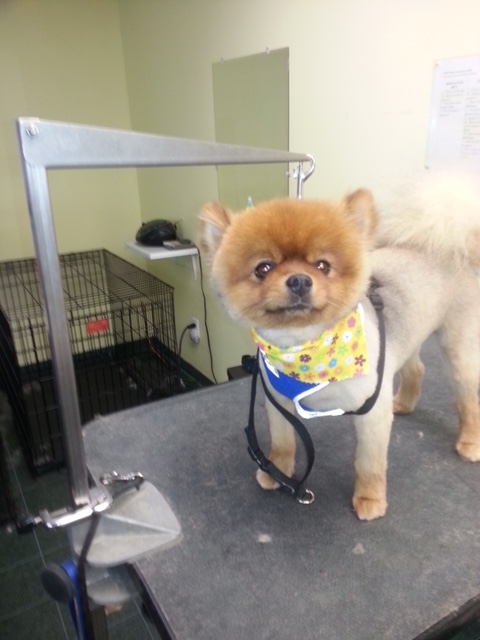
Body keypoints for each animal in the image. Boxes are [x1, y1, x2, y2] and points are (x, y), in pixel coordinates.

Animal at [197, 172, 480, 520]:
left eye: (322, 266)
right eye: (263, 268)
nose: (299, 280)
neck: (305, 350)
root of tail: (447, 243)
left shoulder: (372, 412)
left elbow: (369, 464)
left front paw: (370, 499)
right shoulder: (278, 404)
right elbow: (283, 444)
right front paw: (276, 472)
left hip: (458, 346)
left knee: (467, 397)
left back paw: (470, 442)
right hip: (405, 337)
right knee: (416, 368)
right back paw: (404, 403)